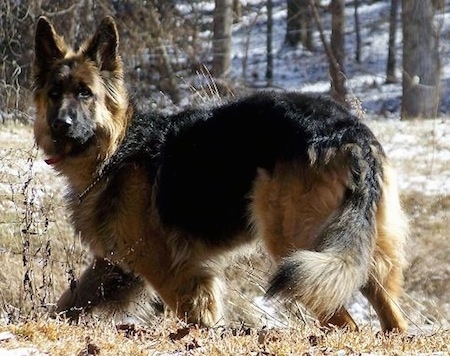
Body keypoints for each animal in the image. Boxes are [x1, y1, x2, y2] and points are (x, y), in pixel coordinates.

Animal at [33, 16, 410, 334]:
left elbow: (195, 315)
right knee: (391, 314)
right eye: (54, 94)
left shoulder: (171, 270)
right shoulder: (116, 267)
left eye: (85, 93)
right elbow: (68, 303)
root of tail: (349, 132)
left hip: (294, 243)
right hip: (357, 251)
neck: (115, 148)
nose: (61, 125)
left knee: (346, 322)